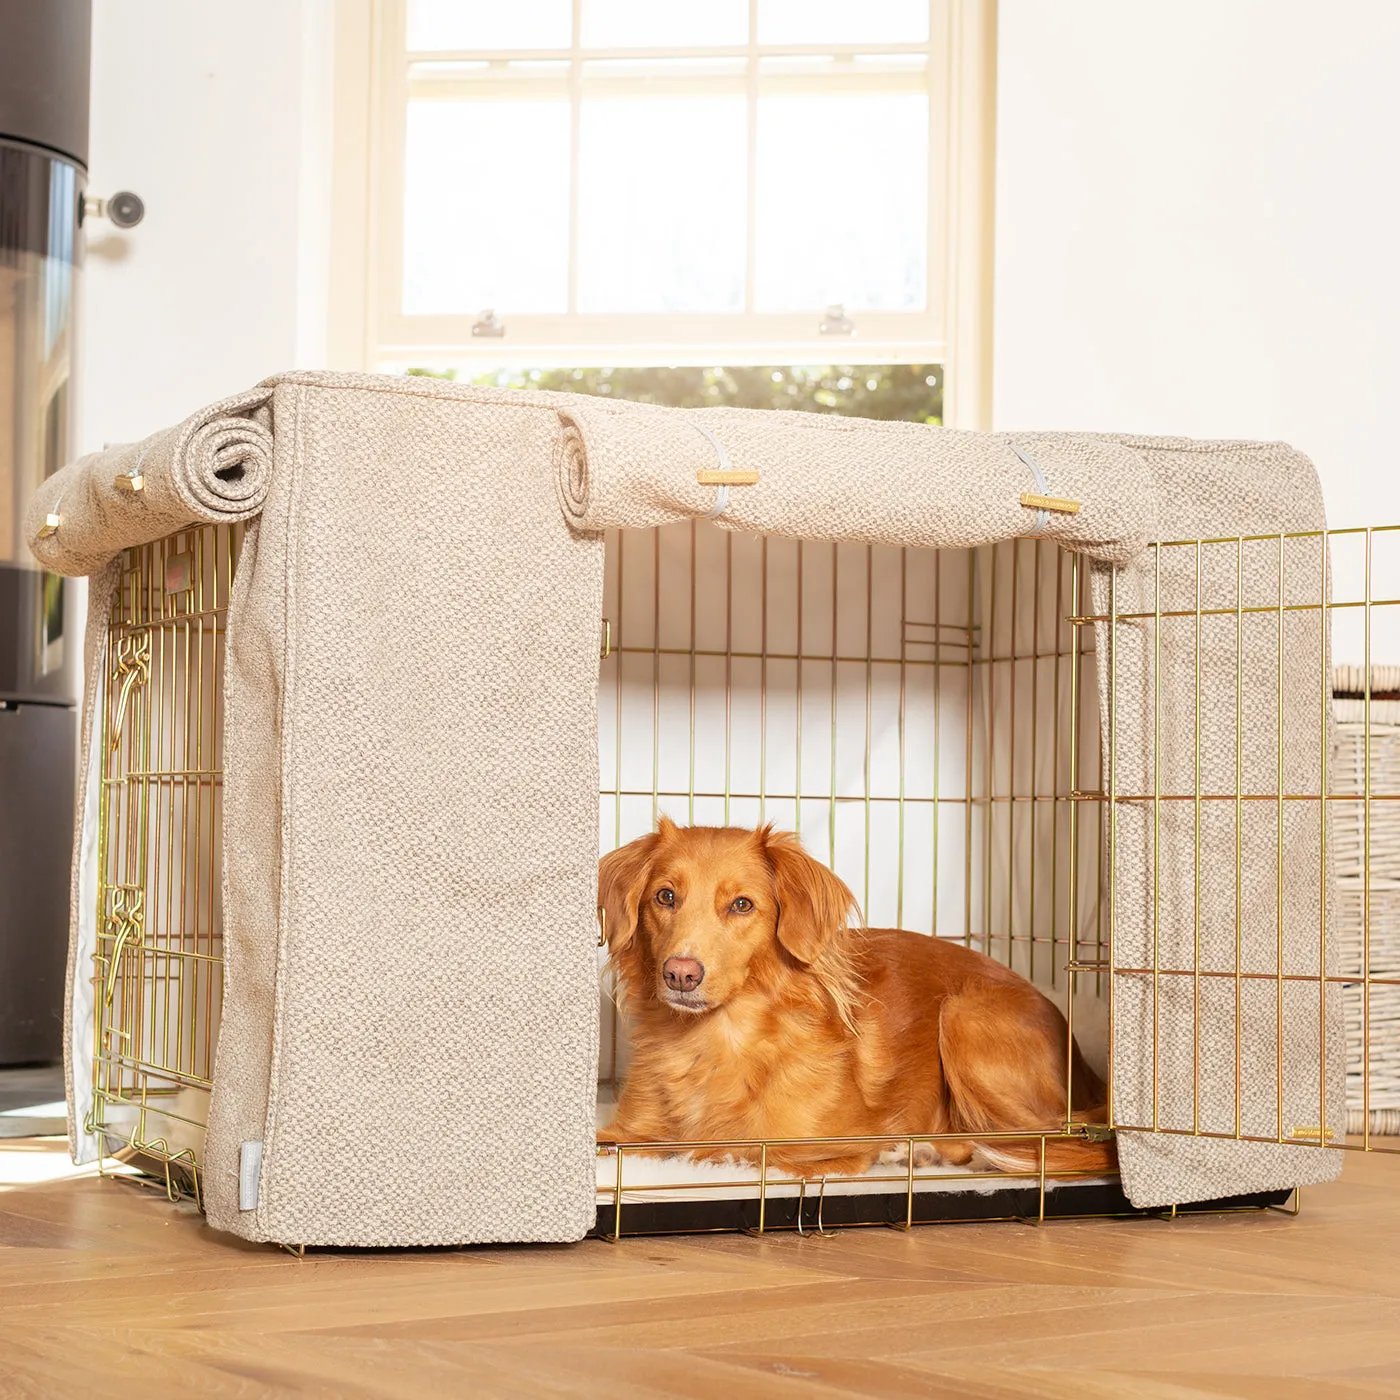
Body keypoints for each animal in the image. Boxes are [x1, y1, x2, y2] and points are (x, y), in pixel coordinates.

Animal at [596, 817, 1120, 1187]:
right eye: (665, 896)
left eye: (742, 905)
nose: (680, 974)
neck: (714, 1040)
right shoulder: (628, 1132)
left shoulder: (812, 1146)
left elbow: (725, 1149)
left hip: (963, 1018)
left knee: (1037, 1137)